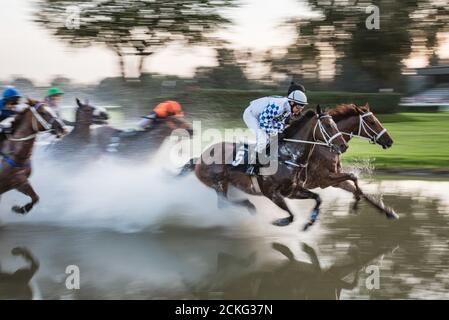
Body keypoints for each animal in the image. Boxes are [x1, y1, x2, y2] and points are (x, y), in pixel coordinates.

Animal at [178, 105, 346, 230]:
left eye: (335, 124)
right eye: (328, 126)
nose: (344, 146)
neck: (286, 155)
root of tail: (199, 158)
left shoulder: (292, 191)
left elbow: (317, 198)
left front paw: (310, 222)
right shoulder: (271, 193)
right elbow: (291, 215)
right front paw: (280, 221)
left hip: (227, 185)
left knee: (224, 204)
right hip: (218, 184)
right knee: (224, 204)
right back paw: (250, 206)